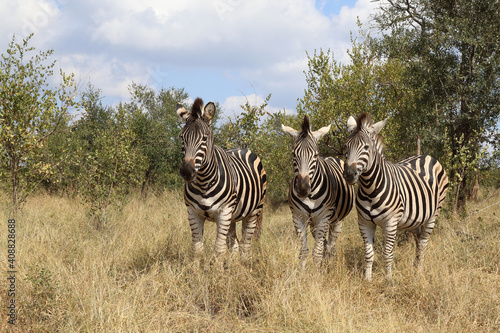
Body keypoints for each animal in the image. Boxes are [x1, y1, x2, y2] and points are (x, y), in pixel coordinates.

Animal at [178, 96, 268, 256]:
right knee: (234, 243)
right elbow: (197, 249)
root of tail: (242, 148)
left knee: (245, 244)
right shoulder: (192, 213)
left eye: (204, 138)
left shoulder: (224, 212)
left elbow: (219, 249)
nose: (187, 172)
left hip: (253, 212)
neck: (203, 182)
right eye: (182, 138)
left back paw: (244, 261)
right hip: (232, 217)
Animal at [282, 115, 356, 266]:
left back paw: (328, 263)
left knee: (331, 244)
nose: (303, 189)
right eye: (293, 154)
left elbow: (317, 252)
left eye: (315, 155)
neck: (310, 196)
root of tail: (331, 156)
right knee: (324, 243)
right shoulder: (299, 218)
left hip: (336, 220)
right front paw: (303, 272)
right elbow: (304, 252)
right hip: (313, 223)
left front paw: (318, 271)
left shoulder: (323, 218)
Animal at [344, 112, 450, 280]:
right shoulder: (364, 222)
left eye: (366, 147)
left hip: (433, 214)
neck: (370, 188)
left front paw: (389, 279)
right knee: (418, 239)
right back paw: (415, 266)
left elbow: (387, 254)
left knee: (423, 242)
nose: (349, 174)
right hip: (414, 220)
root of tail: (426, 156)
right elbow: (369, 254)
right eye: (346, 146)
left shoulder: (391, 223)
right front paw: (367, 279)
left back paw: (419, 270)